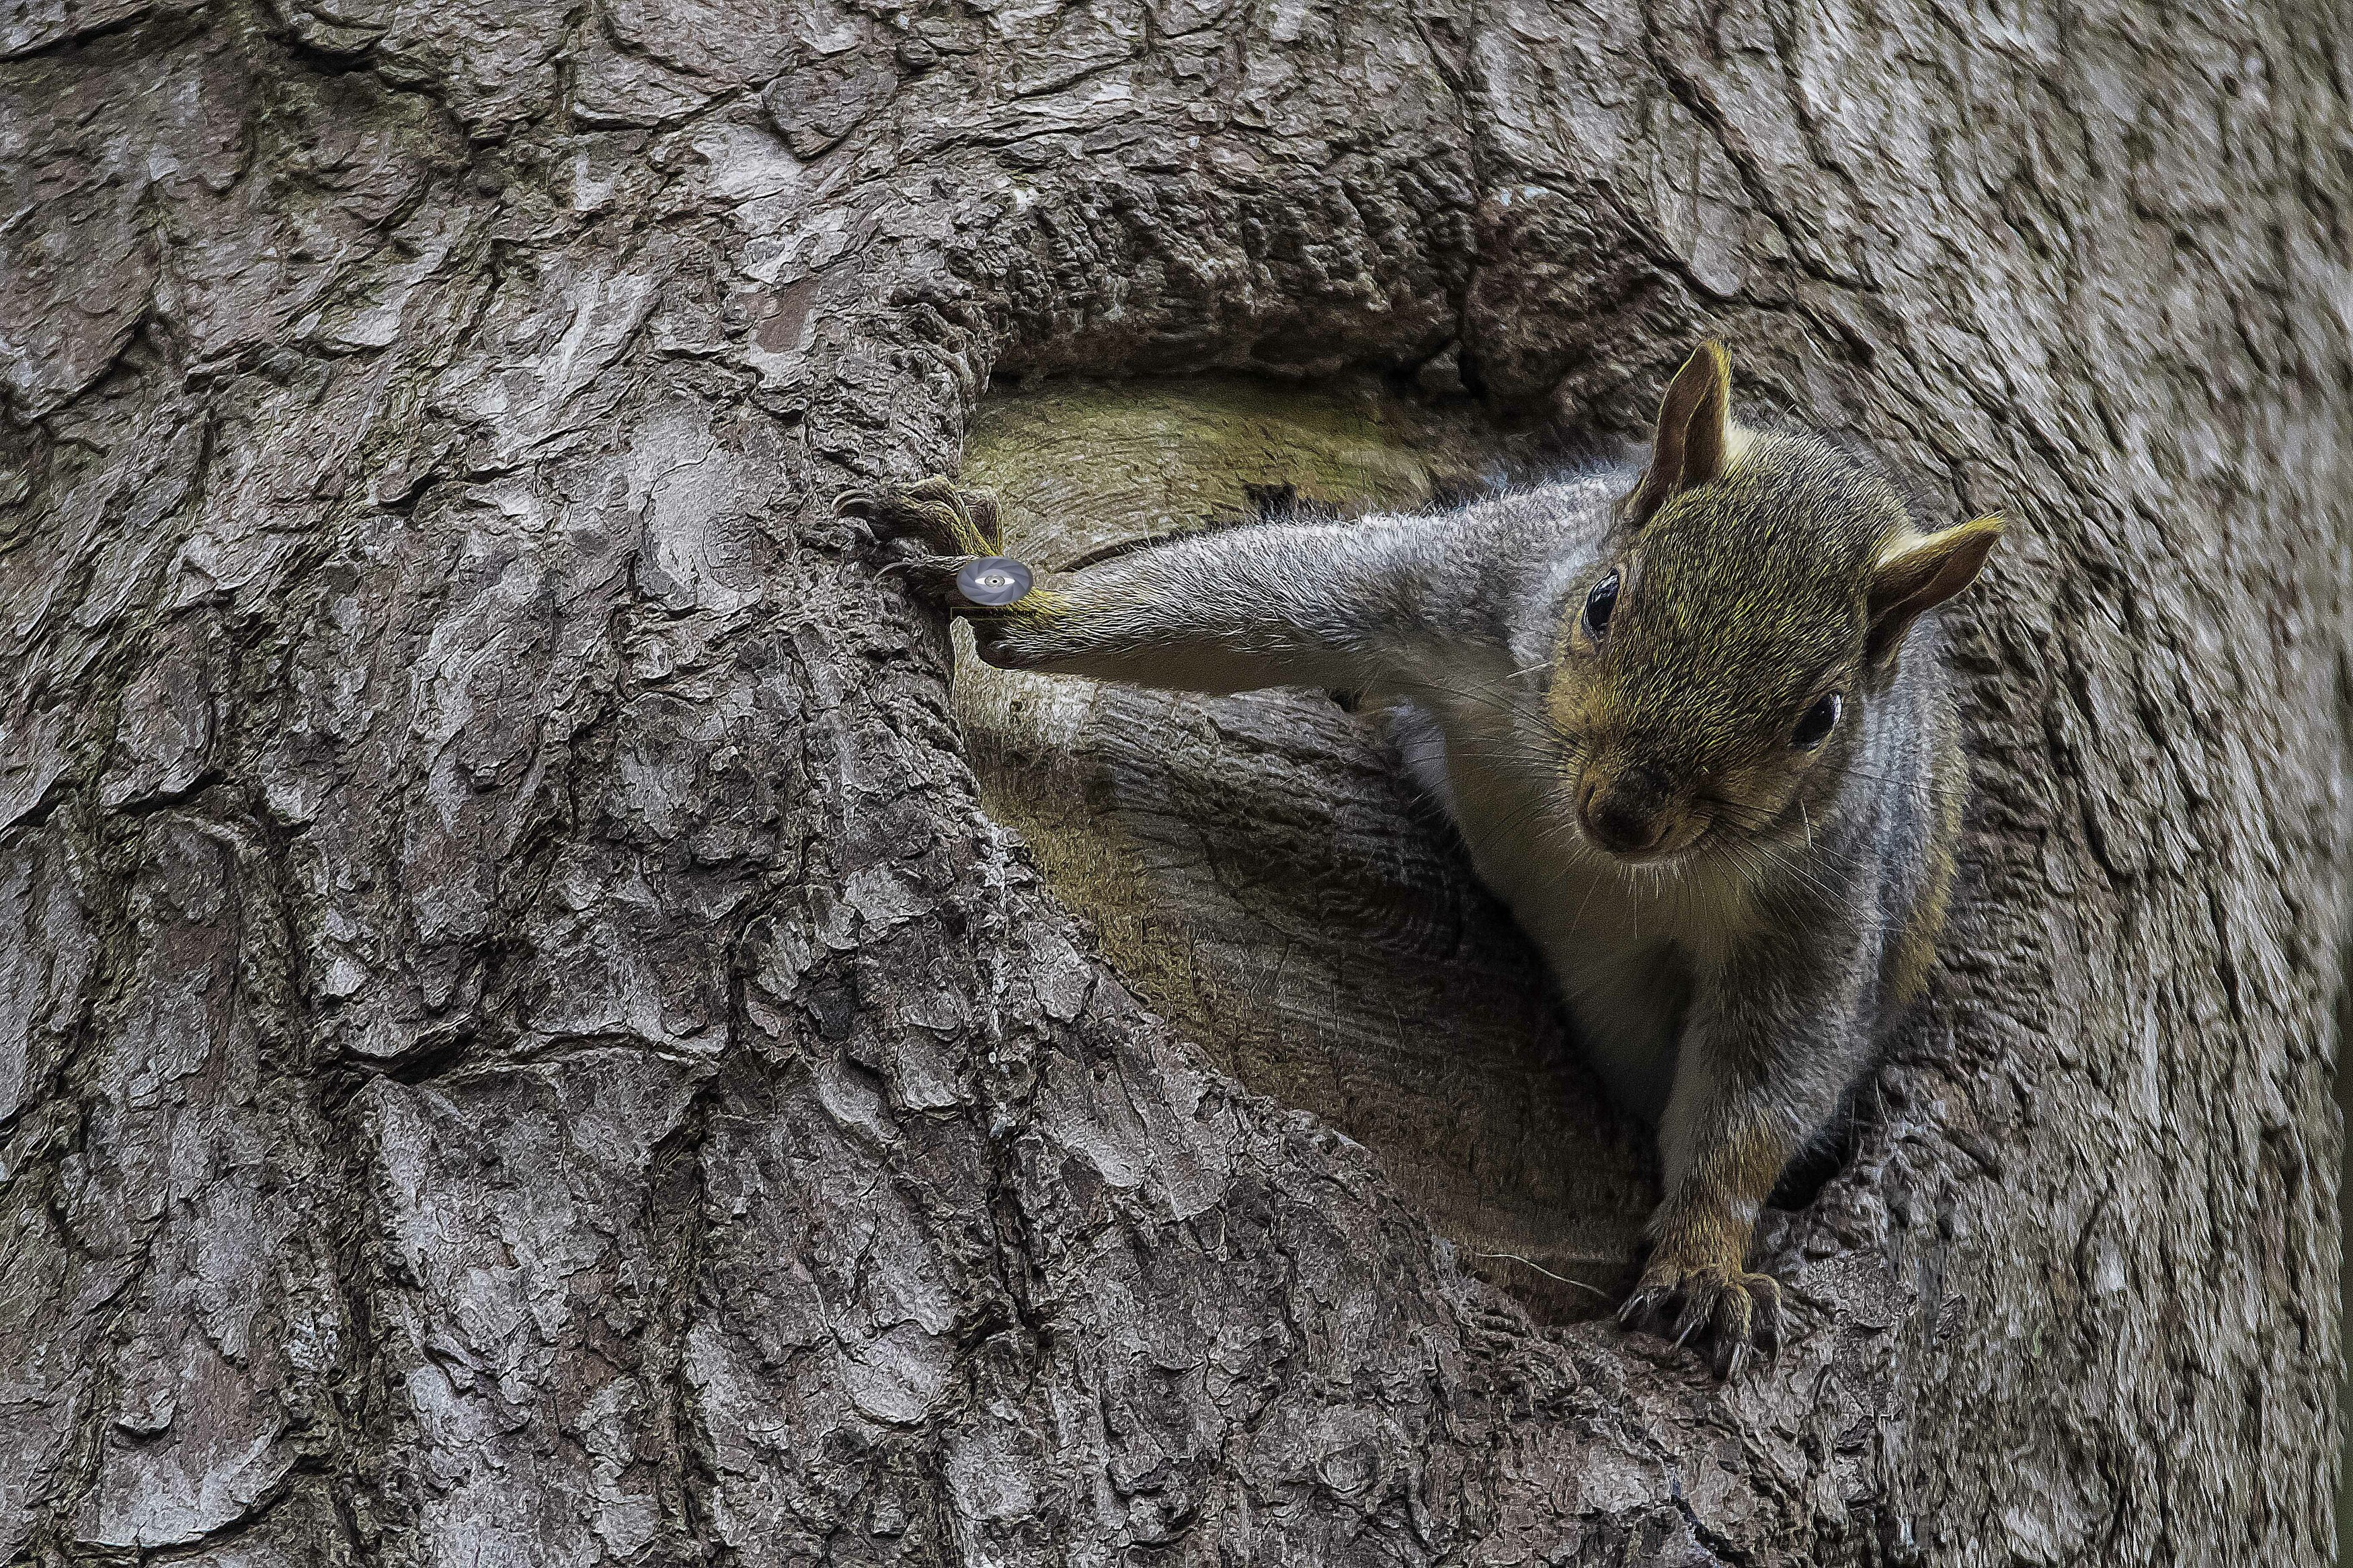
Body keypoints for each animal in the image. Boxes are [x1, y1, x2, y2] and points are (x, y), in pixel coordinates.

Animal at [856, 341, 1995, 1372]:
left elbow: (1766, 1078)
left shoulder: (1821, 908)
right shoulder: (1467, 586)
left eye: (1820, 719)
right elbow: (1270, 595)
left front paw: (1706, 1256)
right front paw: (1011, 595)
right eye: (1603, 601)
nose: (1626, 816)